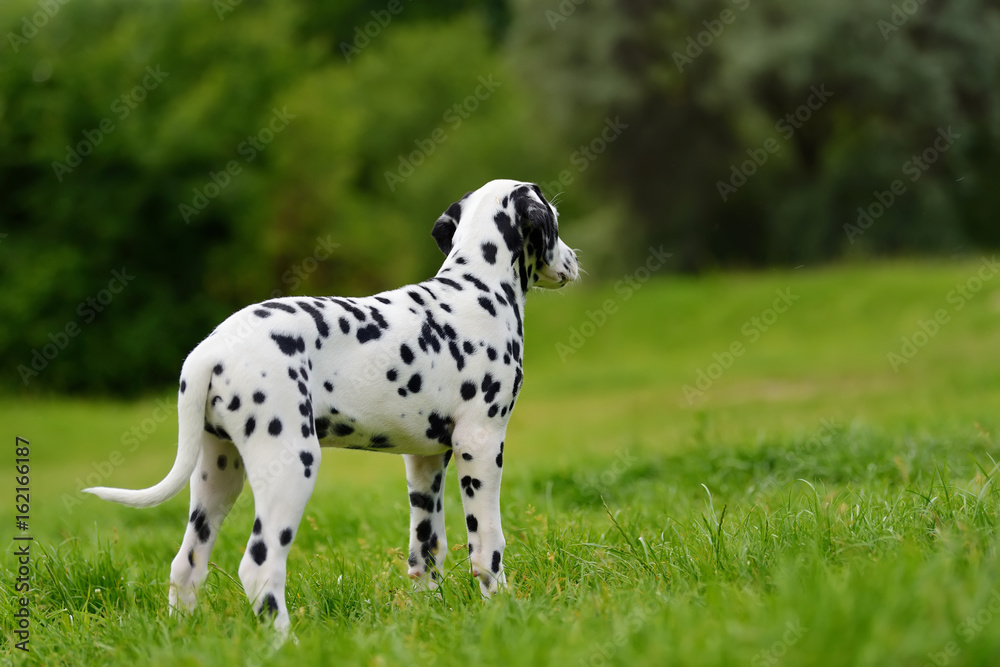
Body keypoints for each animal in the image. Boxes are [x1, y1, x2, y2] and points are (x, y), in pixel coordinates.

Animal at [88, 179, 584, 636]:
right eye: (556, 221)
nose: (575, 261)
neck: (476, 287)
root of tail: (211, 348)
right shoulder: (479, 444)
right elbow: (487, 545)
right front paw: (503, 610)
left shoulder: (424, 461)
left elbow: (426, 550)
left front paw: (431, 613)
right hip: (292, 465)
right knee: (260, 566)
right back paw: (285, 643)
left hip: (217, 477)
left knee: (186, 564)